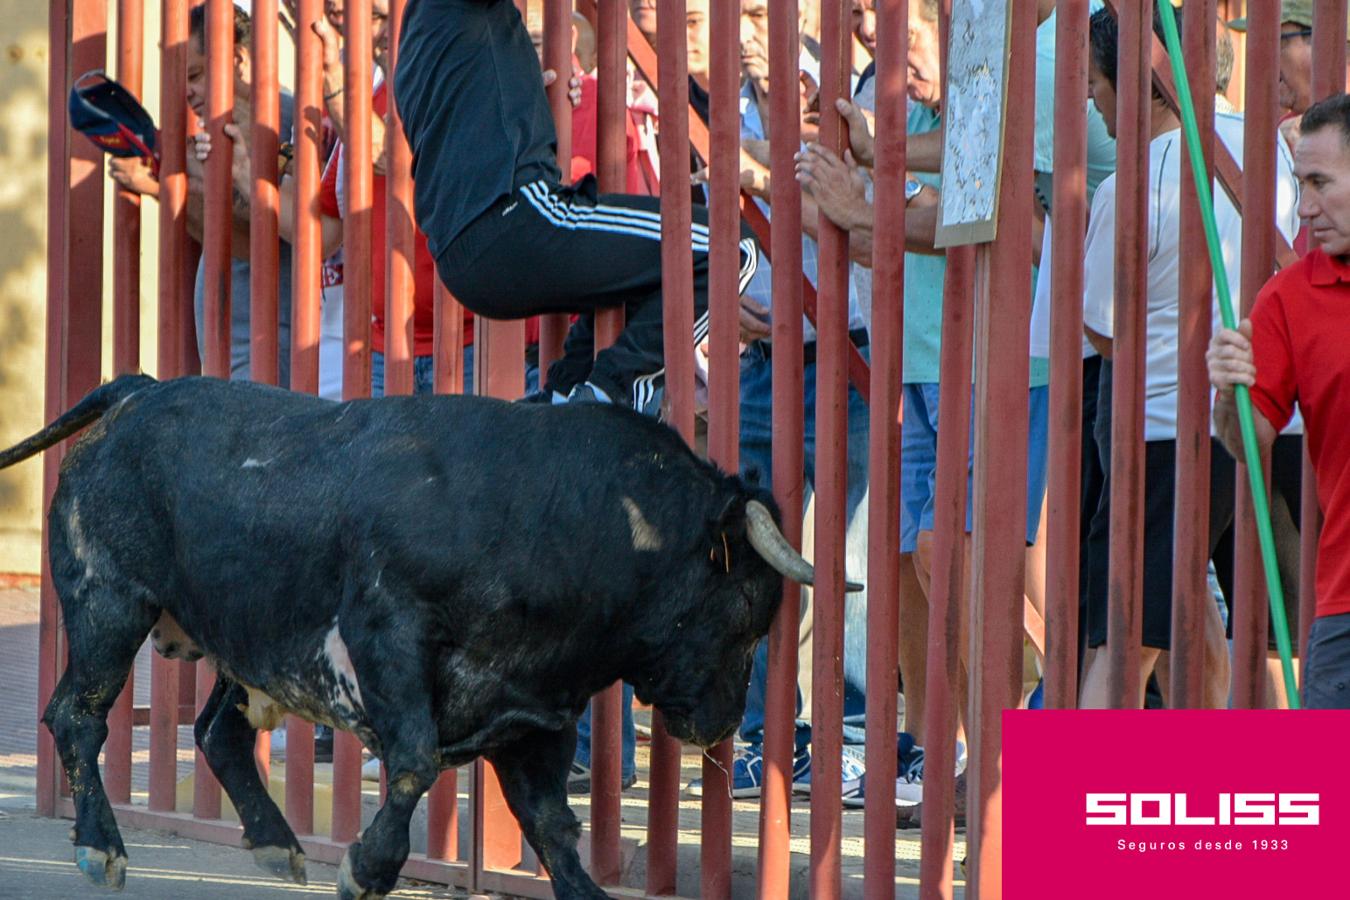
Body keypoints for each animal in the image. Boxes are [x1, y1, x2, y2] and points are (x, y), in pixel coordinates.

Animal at [5, 377, 847, 900]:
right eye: (746, 607)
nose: (718, 723)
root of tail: (138, 391)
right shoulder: (388, 637)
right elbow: (414, 762)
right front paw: (367, 868)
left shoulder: (534, 713)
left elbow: (552, 826)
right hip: (108, 606)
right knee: (76, 716)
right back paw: (102, 847)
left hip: (237, 645)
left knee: (217, 731)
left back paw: (277, 842)